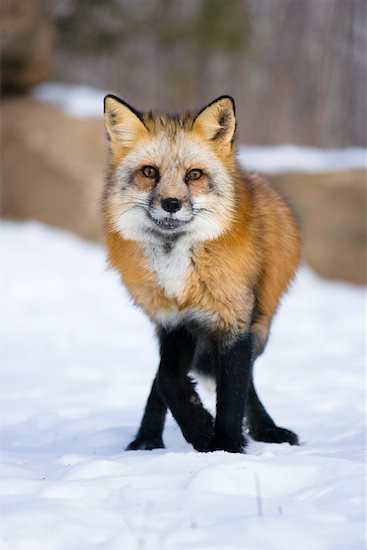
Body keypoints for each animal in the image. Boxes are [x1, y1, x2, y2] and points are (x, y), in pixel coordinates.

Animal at [102, 96, 300, 458]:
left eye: (194, 174)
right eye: (150, 172)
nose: (171, 203)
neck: (180, 270)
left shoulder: (234, 321)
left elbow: (233, 393)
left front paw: (225, 447)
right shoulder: (174, 322)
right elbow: (167, 380)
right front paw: (199, 428)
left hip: (260, 326)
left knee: (248, 381)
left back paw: (266, 429)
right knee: (160, 379)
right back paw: (147, 440)